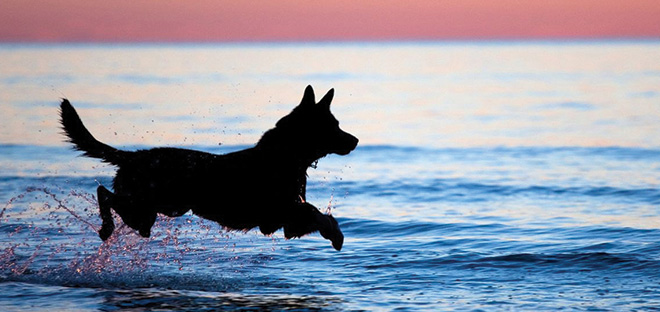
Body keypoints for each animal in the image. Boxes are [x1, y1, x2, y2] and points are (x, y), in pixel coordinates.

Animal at [59, 86, 358, 251]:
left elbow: (318, 214)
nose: (355, 140)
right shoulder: (280, 213)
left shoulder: (283, 224)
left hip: (155, 209)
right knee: (104, 193)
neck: (286, 154)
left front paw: (334, 232)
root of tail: (133, 157)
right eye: (333, 126)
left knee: (112, 199)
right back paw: (106, 227)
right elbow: (316, 212)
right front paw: (335, 234)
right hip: (149, 207)